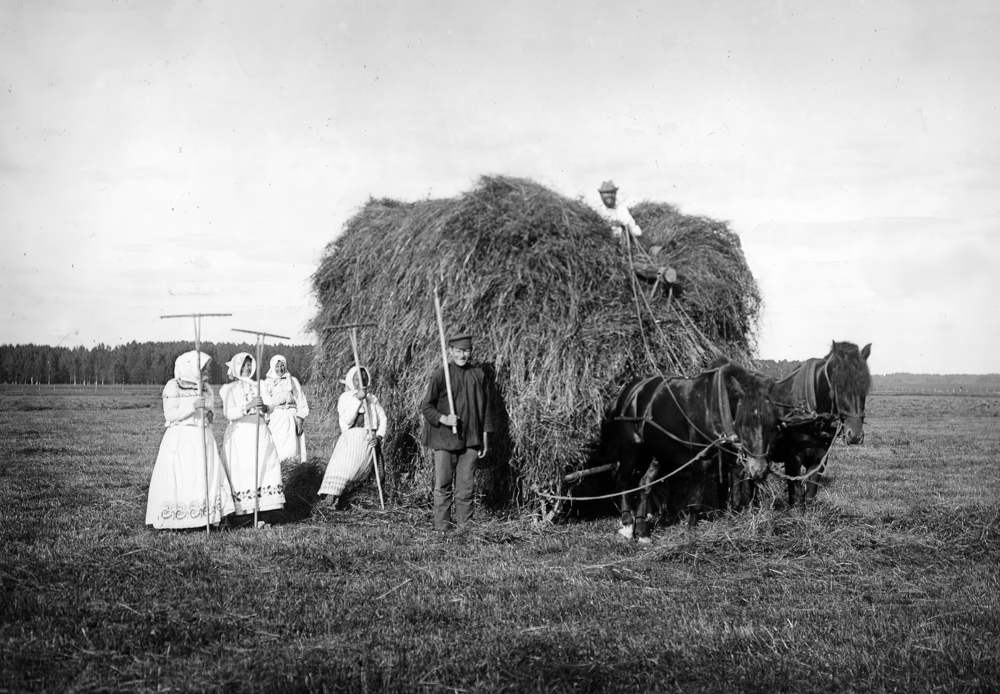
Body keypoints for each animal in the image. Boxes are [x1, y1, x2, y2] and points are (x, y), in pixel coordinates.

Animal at [600, 362, 780, 540]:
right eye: (745, 424)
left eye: (772, 425)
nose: (760, 470)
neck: (716, 405)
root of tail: (629, 390)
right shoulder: (702, 460)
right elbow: (696, 498)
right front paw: (691, 531)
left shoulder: (730, 458)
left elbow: (734, 490)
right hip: (632, 448)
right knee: (623, 480)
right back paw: (627, 523)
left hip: (658, 453)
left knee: (645, 484)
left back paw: (643, 530)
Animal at [768, 342, 872, 506]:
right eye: (839, 386)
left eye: (865, 386)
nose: (855, 435)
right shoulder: (792, 459)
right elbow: (795, 497)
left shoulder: (820, 458)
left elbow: (810, 494)